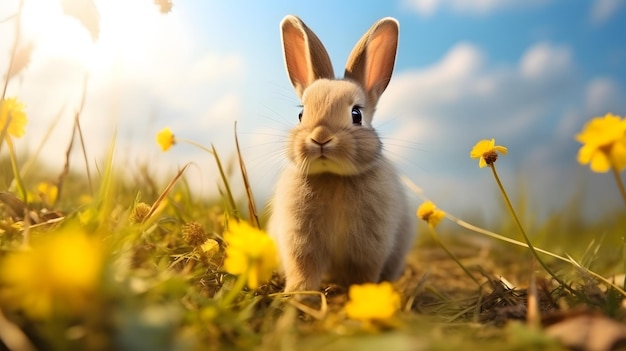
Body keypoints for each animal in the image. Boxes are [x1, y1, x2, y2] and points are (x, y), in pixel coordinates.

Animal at [266, 15, 412, 292]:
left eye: (356, 114)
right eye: (301, 114)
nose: (320, 138)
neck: (333, 176)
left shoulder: (370, 245)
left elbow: (363, 272)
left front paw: (363, 295)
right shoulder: (301, 241)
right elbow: (303, 267)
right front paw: (299, 293)